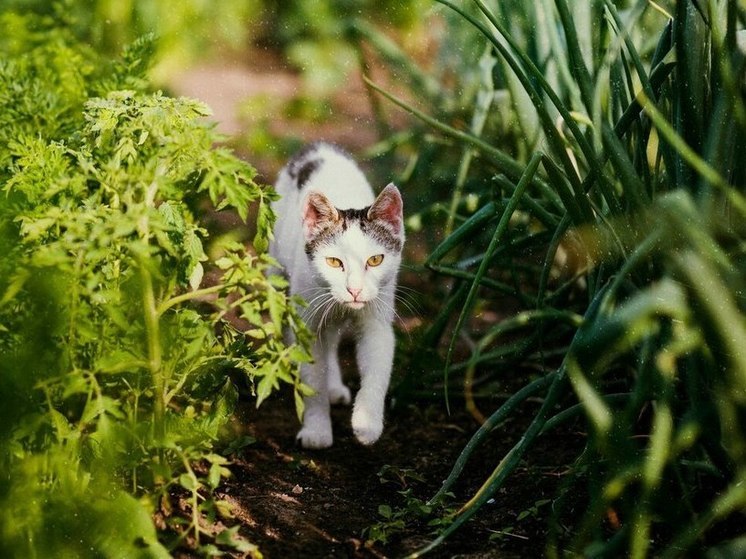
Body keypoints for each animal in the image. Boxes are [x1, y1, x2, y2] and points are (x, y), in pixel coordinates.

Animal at [268, 143, 404, 450]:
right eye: (333, 262)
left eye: (375, 260)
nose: (354, 289)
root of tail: (318, 145)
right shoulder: (307, 320)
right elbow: (312, 379)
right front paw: (317, 430)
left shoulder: (377, 321)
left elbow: (377, 372)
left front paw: (367, 423)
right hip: (277, 271)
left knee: (330, 342)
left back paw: (335, 386)